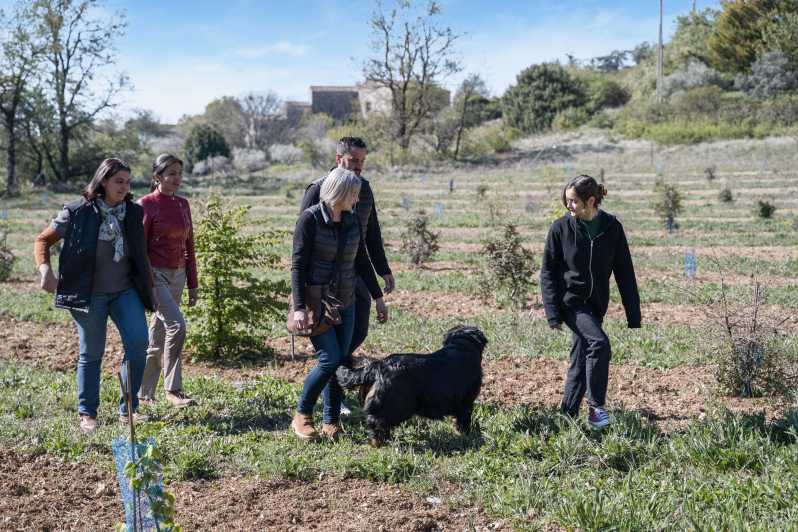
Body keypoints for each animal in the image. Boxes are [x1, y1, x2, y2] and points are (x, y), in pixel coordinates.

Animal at [336, 324, 490, 444]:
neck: (461, 347)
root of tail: (379, 365)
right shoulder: (466, 403)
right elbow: (463, 422)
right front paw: (467, 436)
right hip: (396, 407)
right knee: (377, 423)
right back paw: (380, 442)